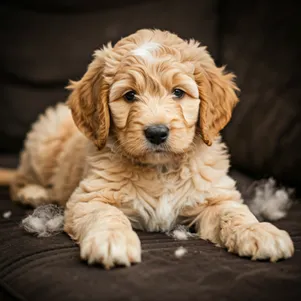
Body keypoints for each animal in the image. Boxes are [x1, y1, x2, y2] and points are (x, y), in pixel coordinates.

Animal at [9, 28, 292, 268]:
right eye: (129, 95)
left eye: (178, 92)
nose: (157, 132)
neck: (161, 169)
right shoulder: (89, 197)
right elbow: (106, 215)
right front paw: (111, 240)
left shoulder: (215, 197)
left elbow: (234, 213)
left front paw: (259, 231)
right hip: (45, 140)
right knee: (22, 175)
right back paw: (33, 193)